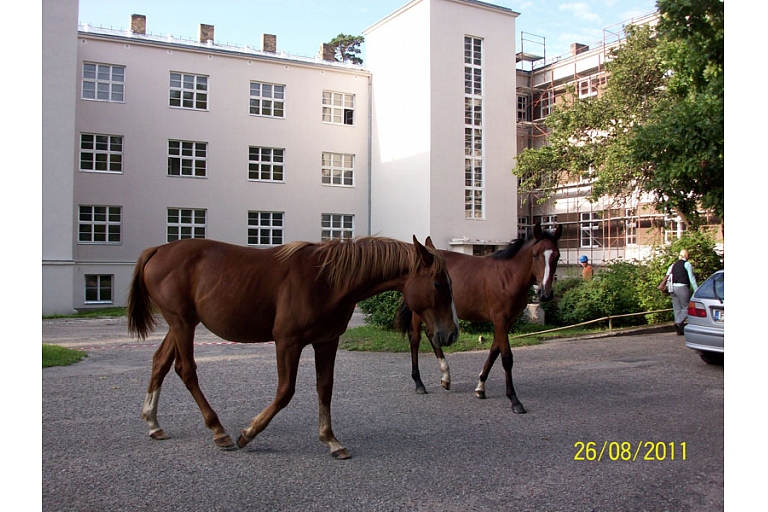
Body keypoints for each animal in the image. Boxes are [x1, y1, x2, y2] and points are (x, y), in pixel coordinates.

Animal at [127, 236, 459, 459]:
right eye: (438, 284)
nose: (453, 333)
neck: (327, 280)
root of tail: (158, 250)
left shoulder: (326, 341)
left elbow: (325, 387)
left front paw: (331, 439)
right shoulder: (288, 342)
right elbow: (286, 391)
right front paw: (248, 433)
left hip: (181, 324)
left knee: (159, 363)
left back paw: (153, 423)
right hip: (181, 323)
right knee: (186, 370)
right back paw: (219, 430)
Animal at [396, 223, 562, 413]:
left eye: (557, 256)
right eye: (535, 255)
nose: (545, 293)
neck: (508, 276)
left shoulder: (507, 321)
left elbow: (494, 351)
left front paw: (480, 387)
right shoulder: (500, 320)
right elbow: (506, 358)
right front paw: (514, 400)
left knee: (432, 337)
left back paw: (446, 377)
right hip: (420, 312)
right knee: (415, 339)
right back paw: (419, 383)